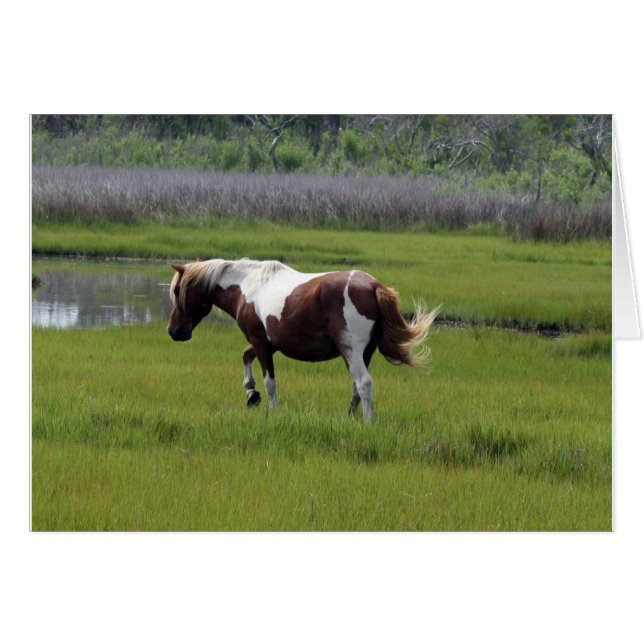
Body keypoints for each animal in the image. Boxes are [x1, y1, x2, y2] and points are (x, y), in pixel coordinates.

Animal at [167, 258, 439, 421]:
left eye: (178, 290)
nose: (174, 331)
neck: (248, 287)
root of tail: (374, 287)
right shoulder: (266, 344)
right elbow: (246, 356)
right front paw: (251, 393)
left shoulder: (261, 343)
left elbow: (270, 382)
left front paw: (271, 408)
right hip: (363, 353)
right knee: (356, 386)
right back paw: (350, 418)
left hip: (351, 350)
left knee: (364, 383)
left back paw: (368, 422)